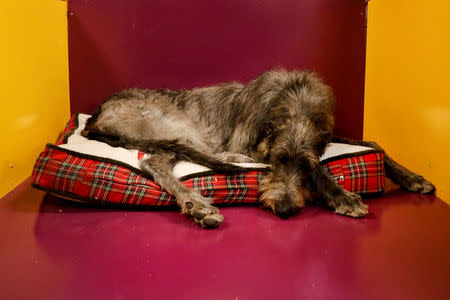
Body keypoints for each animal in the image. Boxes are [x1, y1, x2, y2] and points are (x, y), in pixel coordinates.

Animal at [82, 69, 434, 229]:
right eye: (278, 159)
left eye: (303, 165)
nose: (285, 209)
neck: (295, 100)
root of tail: (95, 115)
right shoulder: (249, 140)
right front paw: (342, 196)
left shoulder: (325, 131)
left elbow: (371, 143)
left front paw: (413, 178)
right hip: (177, 125)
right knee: (154, 162)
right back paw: (200, 204)